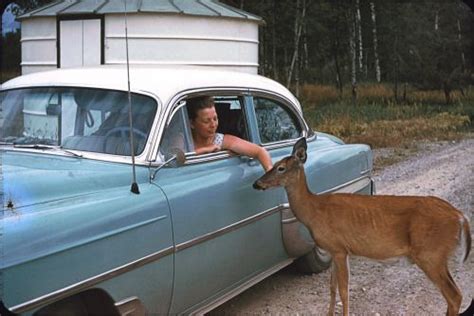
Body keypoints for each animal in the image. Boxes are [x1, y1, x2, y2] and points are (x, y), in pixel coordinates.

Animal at [252, 138, 470, 316]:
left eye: (280, 167)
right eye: (273, 165)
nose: (256, 184)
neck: (315, 211)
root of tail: (460, 216)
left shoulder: (339, 249)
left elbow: (344, 291)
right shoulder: (335, 249)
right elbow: (332, 288)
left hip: (430, 253)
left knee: (455, 295)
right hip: (436, 255)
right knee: (454, 295)